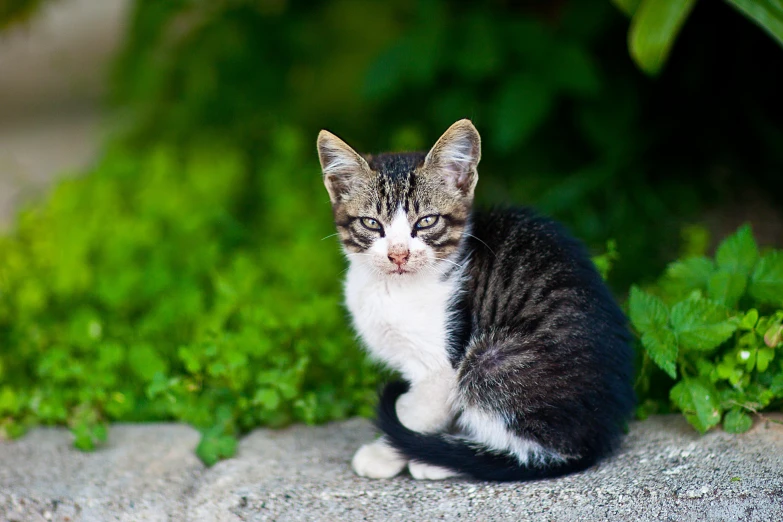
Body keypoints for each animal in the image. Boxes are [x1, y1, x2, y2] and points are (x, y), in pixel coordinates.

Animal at [316, 118, 632, 480]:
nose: (398, 254)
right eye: (371, 223)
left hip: (489, 361)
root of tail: (596, 439)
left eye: (426, 221)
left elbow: (418, 412)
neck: (393, 288)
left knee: (533, 444)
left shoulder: (442, 367)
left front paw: (386, 453)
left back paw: (442, 460)